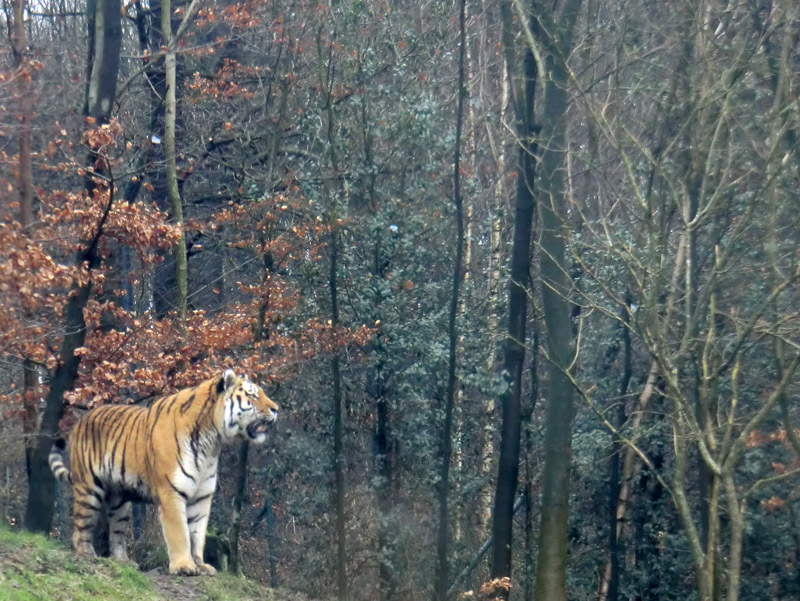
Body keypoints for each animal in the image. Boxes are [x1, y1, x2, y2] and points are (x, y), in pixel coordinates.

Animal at [48, 368, 278, 576]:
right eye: (252, 395)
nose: (276, 409)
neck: (212, 442)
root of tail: (80, 421)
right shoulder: (171, 492)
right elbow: (180, 533)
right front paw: (184, 566)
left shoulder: (202, 496)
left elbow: (197, 533)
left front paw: (200, 564)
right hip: (89, 490)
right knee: (81, 527)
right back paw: (86, 555)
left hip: (119, 501)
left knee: (117, 532)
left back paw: (123, 562)